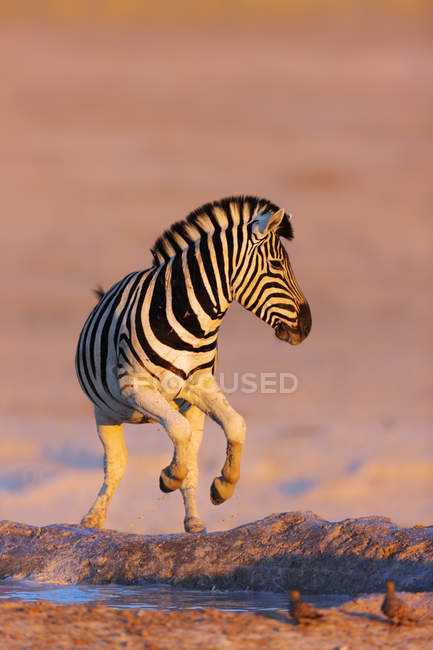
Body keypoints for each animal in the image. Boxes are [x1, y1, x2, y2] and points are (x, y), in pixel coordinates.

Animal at [75, 196, 310, 532]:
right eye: (277, 266)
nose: (307, 327)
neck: (191, 317)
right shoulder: (135, 387)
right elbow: (178, 431)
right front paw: (169, 475)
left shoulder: (198, 385)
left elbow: (235, 425)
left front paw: (224, 485)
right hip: (106, 412)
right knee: (117, 462)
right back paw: (93, 518)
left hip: (187, 407)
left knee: (192, 454)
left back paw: (194, 521)